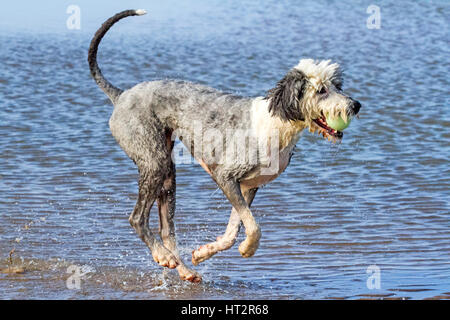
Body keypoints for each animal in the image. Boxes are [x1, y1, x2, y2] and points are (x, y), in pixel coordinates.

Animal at [88, 8, 362, 282]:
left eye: (338, 86)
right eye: (321, 90)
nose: (356, 105)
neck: (277, 122)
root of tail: (122, 95)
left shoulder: (249, 185)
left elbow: (234, 230)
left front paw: (204, 253)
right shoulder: (226, 176)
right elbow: (253, 226)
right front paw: (248, 248)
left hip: (167, 177)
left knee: (167, 230)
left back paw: (185, 269)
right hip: (154, 161)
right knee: (137, 219)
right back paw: (163, 255)